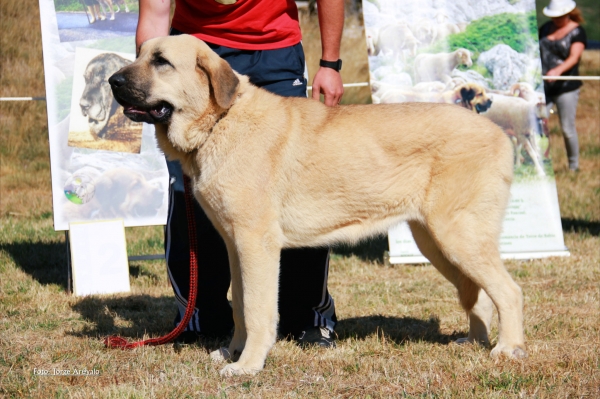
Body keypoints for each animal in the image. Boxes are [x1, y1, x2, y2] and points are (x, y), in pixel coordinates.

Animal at [110, 35, 528, 378]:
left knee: (508, 292)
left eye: (161, 61)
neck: (221, 121)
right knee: (478, 295)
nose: (113, 81)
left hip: (457, 236)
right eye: (140, 55)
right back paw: (474, 342)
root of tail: (496, 132)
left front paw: (247, 366)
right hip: (436, 242)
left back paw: (507, 348)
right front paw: (233, 352)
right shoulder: (235, 245)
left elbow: (257, 310)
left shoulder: (256, 245)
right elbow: (240, 307)